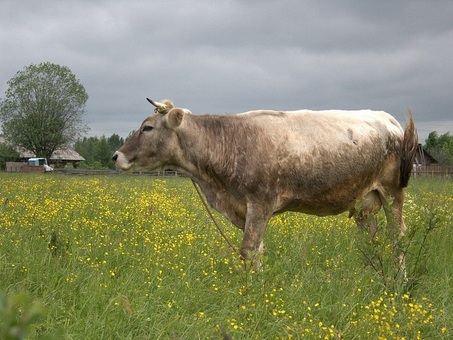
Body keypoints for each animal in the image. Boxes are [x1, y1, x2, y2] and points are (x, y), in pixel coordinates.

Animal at [113, 98, 416, 270]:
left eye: (147, 128)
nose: (116, 155)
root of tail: (385, 118)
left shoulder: (260, 203)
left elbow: (248, 250)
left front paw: (251, 295)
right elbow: (257, 250)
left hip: (392, 192)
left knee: (397, 236)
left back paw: (398, 279)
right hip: (367, 201)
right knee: (372, 238)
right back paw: (370, 274)